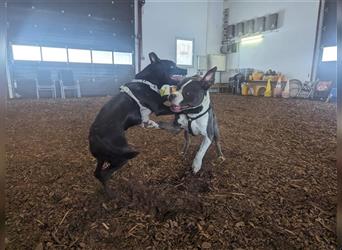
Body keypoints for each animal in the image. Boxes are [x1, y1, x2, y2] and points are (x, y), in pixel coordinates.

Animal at [87, 53, 186, 193]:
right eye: (172, 66)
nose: (186, 70)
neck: (149, 81)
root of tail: (94, 137)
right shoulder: (159, 108)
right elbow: (177, 108)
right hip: (121, 157)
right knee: (104, 174)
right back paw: (112, 194)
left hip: (103, 158)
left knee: (97, 173)